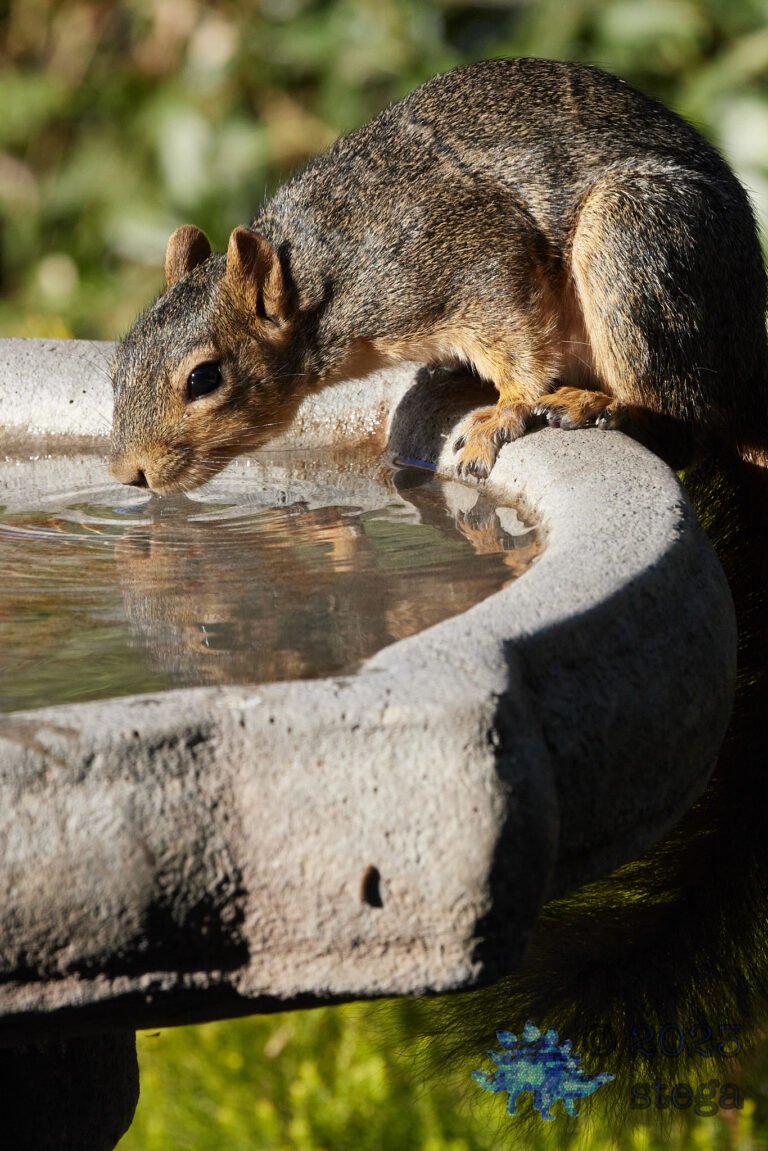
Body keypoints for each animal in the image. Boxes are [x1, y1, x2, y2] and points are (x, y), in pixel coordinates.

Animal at [109, 57, 768, 494]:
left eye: (204, 379)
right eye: (118, 363)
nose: (128, 473)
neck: (323, 280)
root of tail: (748, 369)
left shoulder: (470, 255)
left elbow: (521, 347)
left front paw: (505, 411)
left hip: (636, 239)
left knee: (683, 424)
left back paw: (597, 406)